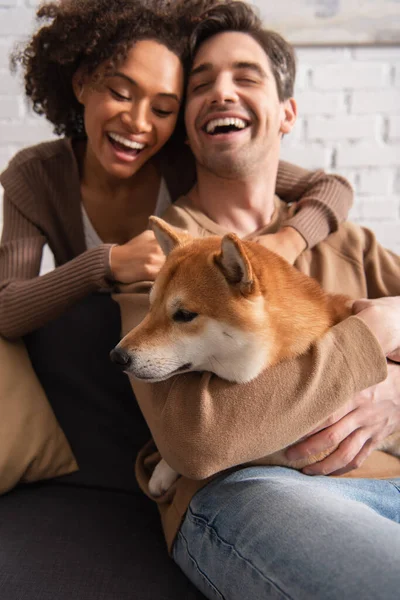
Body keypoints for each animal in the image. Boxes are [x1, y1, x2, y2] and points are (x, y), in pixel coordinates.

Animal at [111, 218, 398, 494]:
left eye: (184, 315)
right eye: (150, 306)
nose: (117, 356)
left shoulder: (305, 453)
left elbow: (240, 456)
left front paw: (165, 468)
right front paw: (163, 470)